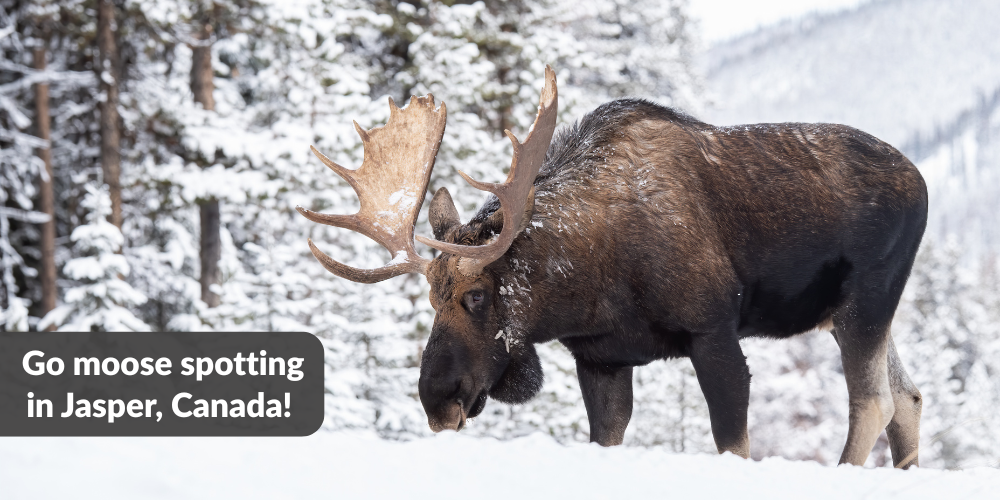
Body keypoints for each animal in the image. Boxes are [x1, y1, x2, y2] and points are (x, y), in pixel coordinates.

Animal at [297, 66, 927, 468]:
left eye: (477, 295)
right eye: (431, 298)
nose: (437, 398)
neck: (589, 287)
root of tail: (921, 182)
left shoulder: (714, 332)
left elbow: (733, 444)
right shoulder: (600, 360)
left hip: (867, 299)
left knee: (874, 402)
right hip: (850, 314)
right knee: (909, 398)